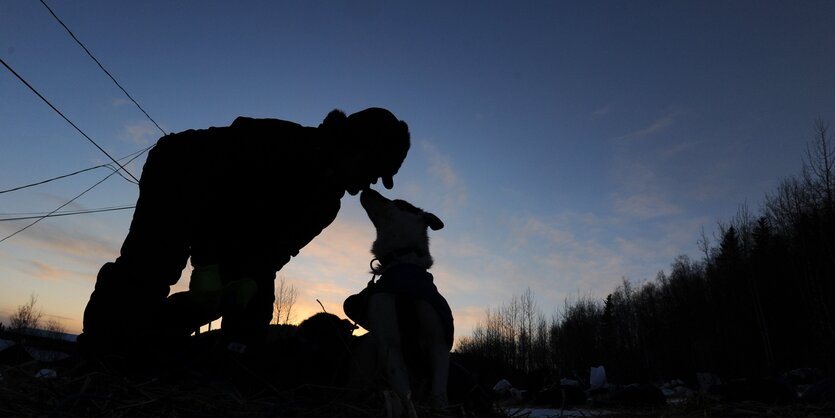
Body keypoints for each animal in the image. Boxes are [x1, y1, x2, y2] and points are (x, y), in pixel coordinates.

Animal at [344, 189, 454, 414]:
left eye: (399, 202)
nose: (367, 189)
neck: (402, 262)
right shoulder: (390, 344)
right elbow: (404, 393)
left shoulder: (438, 342)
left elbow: (439, 391)